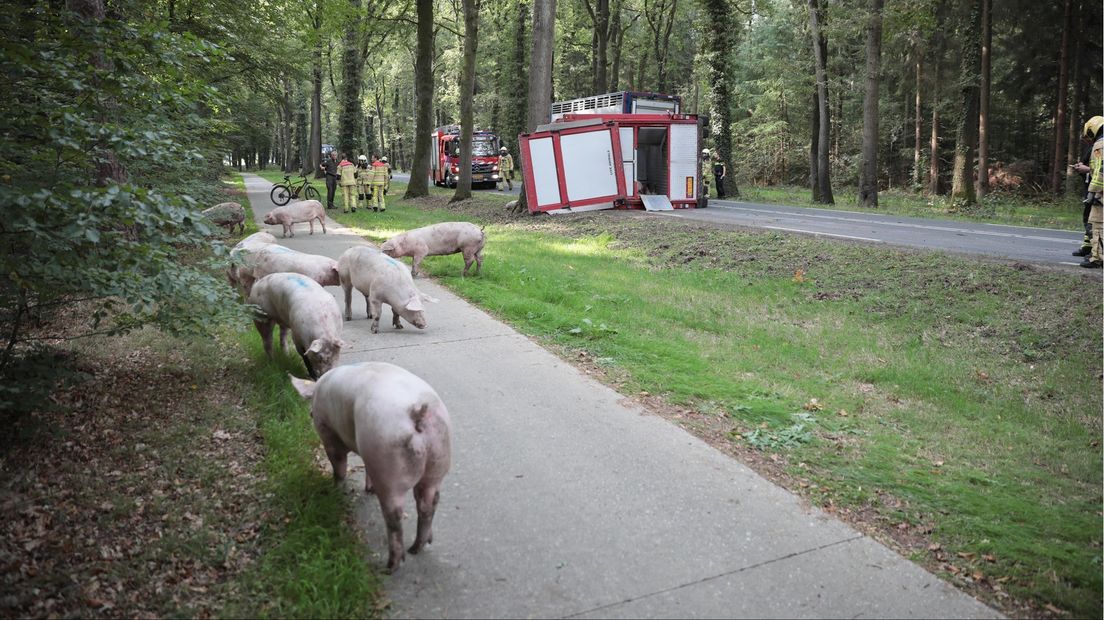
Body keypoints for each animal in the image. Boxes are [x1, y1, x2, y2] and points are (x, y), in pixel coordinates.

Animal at [291, 359, 454, 573]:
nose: (310, 413)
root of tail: (417, 412)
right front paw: (367, 489)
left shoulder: (328, 432)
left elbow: (338, 465)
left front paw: (335, 491)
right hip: (437, 460)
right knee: (428, 503)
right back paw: (418, 547)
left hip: (388, 463)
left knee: (394, 516)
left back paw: (390, 566)